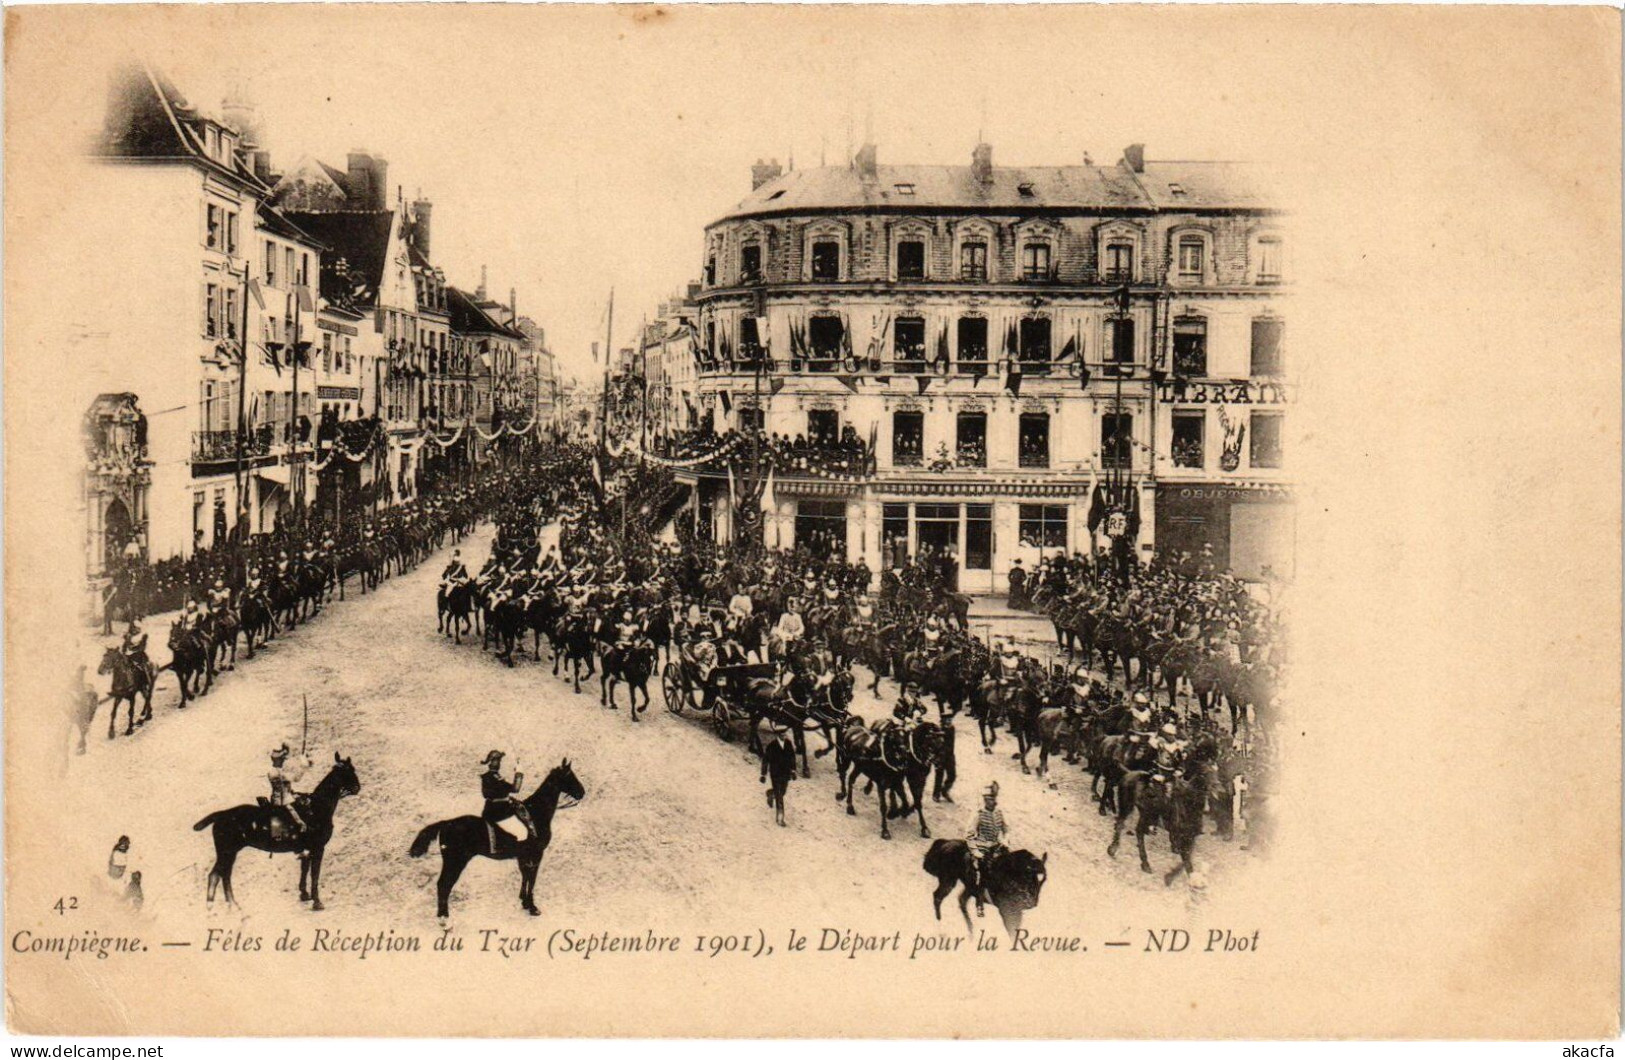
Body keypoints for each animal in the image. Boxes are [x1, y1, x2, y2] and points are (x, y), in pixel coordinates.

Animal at [191, 754, 360, 910]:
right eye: (349, 771)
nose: (357, 788)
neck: (316, 808)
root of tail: (222, 814)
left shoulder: (307, 850)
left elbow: (304, 870)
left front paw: (304, 894)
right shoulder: (318, 848)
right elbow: (314, 875)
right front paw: (317, 902)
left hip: (229, 853)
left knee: (223, 875)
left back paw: (229, 905)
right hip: (227, 852)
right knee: (217, 875)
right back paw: (218, 906)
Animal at [409, 754, 588, 916]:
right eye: (570, 776)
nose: (582, 793)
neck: (536, 812)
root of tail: (447, 823)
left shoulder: (523, 855)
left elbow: (524, 875)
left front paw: (524, 901)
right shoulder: (536, 854)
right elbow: (532, 878)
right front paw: (532, 906)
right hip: (455, 862)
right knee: (443, 885)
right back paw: (444, 917)